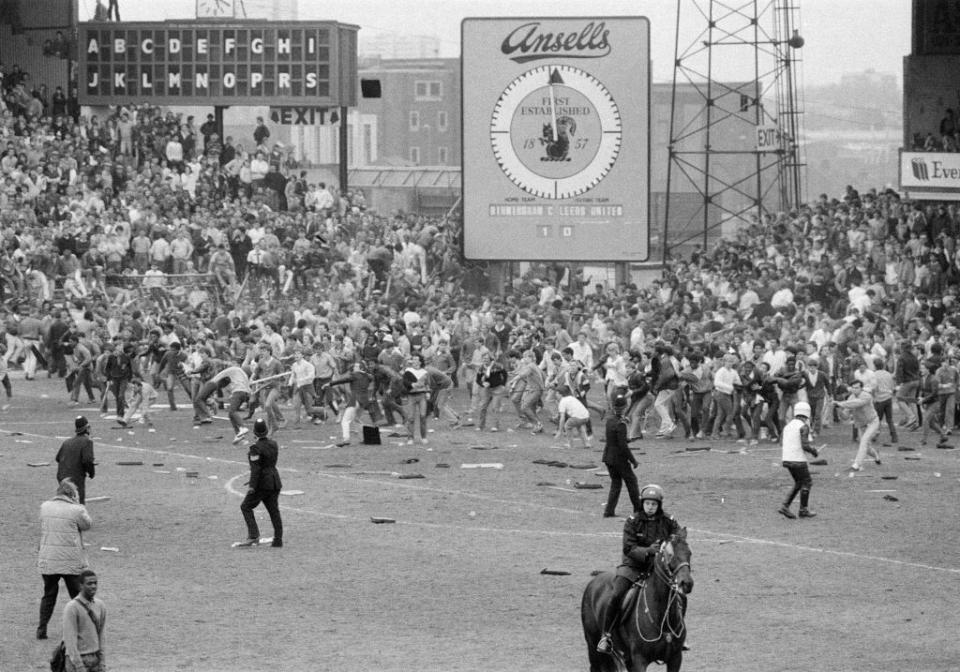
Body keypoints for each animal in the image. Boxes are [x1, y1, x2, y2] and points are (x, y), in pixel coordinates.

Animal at [580, 528, 692, 668]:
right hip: (593, 646)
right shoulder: (640, 660)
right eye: (670, 555)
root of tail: (593, 581)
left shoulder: (675, 659)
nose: (687, 583)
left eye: (689, 553)